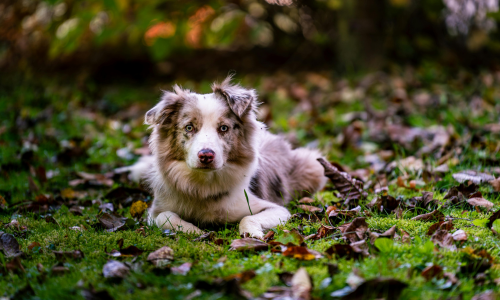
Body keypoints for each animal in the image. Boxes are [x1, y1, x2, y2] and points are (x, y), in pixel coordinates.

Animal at [132, 75, 328, 239]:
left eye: (224, 128)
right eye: (189, 127)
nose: (206, 155)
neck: (205, 185)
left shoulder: (276, 209)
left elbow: (248, 217)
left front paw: (251, 233)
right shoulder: (155, 212)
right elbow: (165, 216)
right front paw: (193, 230)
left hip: (313, 167)